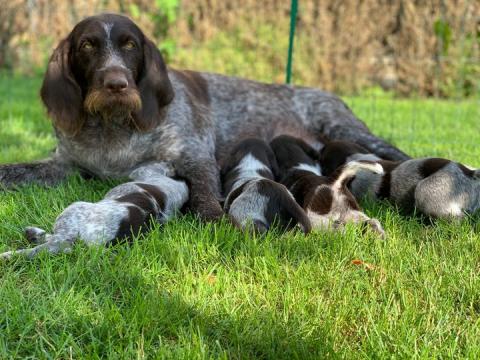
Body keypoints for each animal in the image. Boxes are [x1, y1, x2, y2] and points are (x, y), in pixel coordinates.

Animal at [0, 14, 408, 231]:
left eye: (130, 46)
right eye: (87, 45)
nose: (116, 84)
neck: (113, 130)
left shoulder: (196, 156)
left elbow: (204, 195)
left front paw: (213, 217)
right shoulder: (67, 166)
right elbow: (13, 171)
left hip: (347, 130)